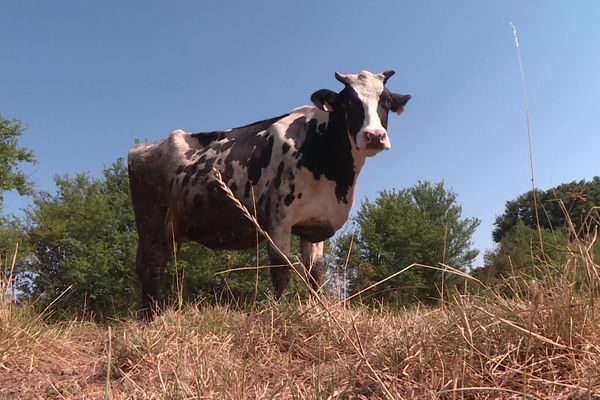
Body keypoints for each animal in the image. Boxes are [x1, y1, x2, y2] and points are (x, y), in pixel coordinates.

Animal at [129, 70, 410, 318]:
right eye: (349, 102)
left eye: (385, 101)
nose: (374, 136)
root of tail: (142, 149)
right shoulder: (278, 219)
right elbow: (281, 269)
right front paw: (281, 311)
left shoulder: (315, 223)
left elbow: (315, 273)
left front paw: (320, 309)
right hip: (151, 221)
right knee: (151, 267)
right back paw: (151, 318)